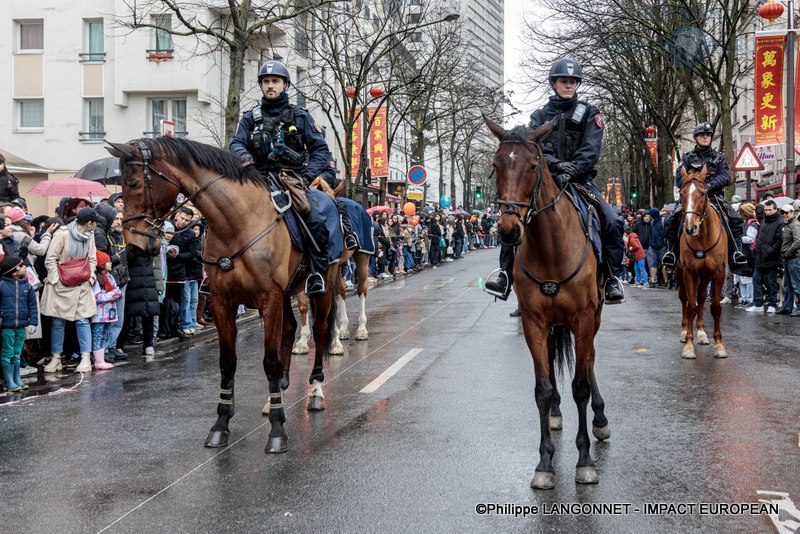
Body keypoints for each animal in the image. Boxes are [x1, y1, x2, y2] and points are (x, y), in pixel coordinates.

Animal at [108, 136, 340, 454]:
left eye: (133, 183)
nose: (134, 246)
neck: (237, 223)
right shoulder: (221, 302)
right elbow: (227, 362)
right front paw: (221, 425)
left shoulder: (268, 298)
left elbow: (269, 362)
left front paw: (277, 431)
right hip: (287, 292)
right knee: (291, 329)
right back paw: (277, 395)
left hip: (322, 284)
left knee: (318, 330)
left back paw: (315, 391)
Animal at [484, 119, 608, 492]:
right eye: (496, 165)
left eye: (532, 166)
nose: (509, 230)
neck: (551, 246)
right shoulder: (534, 322)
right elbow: (542, 388)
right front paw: (545, 463)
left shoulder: (583, 318)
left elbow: (580, 386)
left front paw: (585, 461)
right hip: (553, 326)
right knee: (554, 362)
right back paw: (555, 413)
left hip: (593, 319)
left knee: (590, 360)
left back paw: (600, 418)